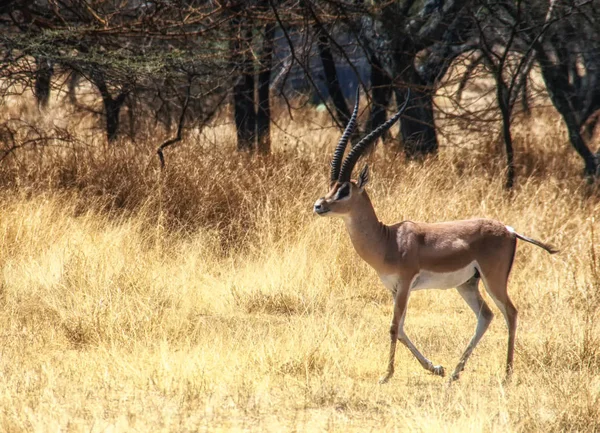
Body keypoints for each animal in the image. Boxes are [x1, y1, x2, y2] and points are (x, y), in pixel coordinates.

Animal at [314, 91, 556, 382]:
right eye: (331, 186)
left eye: (345, 190)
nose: (319, 205)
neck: (389, 240)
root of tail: (509, 229)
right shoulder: (395, 289)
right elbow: (402, 329)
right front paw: (436, 368)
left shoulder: (405, 284)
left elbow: (394, 327)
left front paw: (387, 375)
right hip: (467, 284)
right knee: (486, 316)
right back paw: (454, 373)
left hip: (493, 280)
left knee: (510, 312)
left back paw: (506, 375)